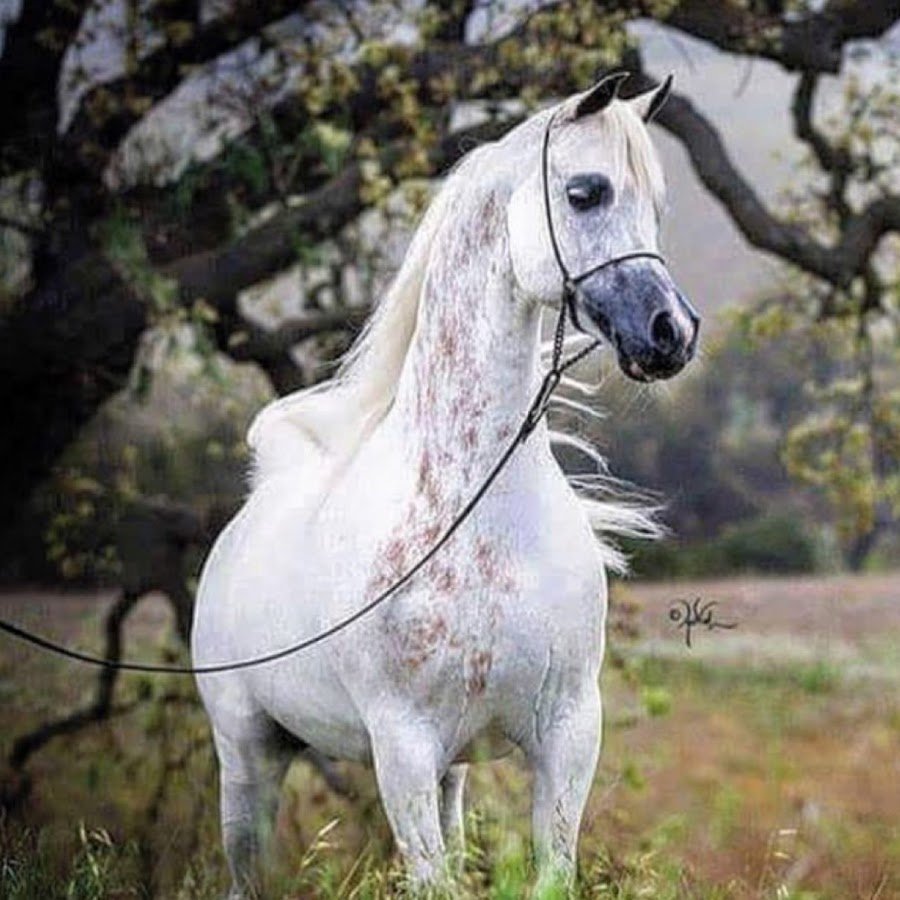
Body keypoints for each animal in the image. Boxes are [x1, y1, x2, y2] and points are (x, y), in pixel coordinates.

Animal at [192, 72, 699, 898]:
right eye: (585, 192)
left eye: (656, 207)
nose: (671, 333)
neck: (478, 527)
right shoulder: (401, 747)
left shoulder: (568, 734)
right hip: (247, 756)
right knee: (246, 867)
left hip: (450, 773)